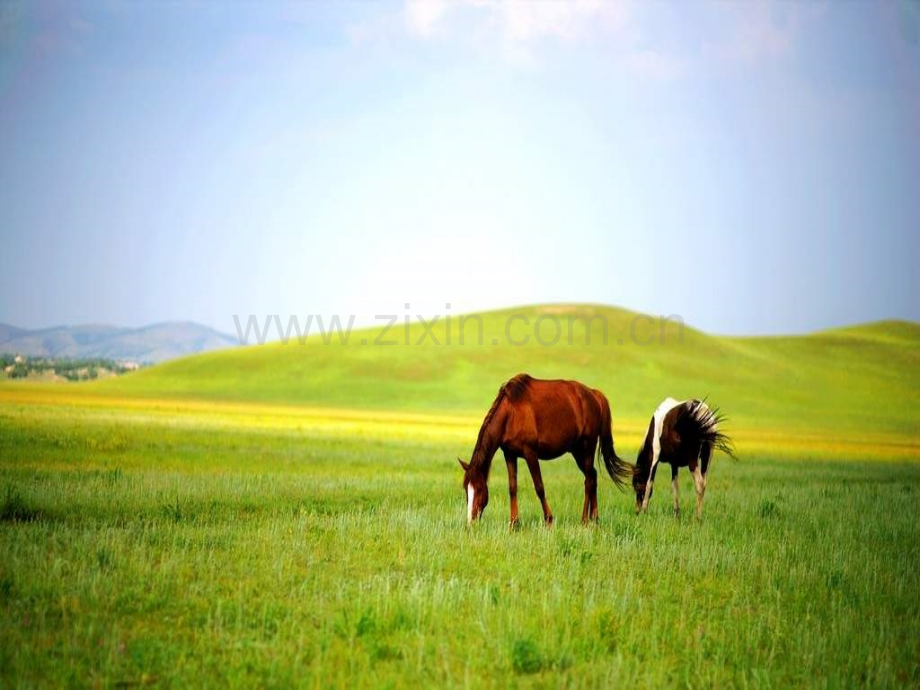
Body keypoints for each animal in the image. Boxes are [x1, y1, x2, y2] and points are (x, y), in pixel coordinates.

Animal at [456, 374, 628, 524]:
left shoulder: (530, 453)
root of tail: (594, 395)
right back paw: (595, 518)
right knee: (592, 475)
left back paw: (585, 520)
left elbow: (539, 487)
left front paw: (549, 520)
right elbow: (512, 487)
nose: (471, 522)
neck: (511, 413)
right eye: (466, 489)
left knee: (589, 481)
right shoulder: (510, 454)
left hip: (587, 448)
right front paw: (514, 524)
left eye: (479, 488)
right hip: (577, 451)